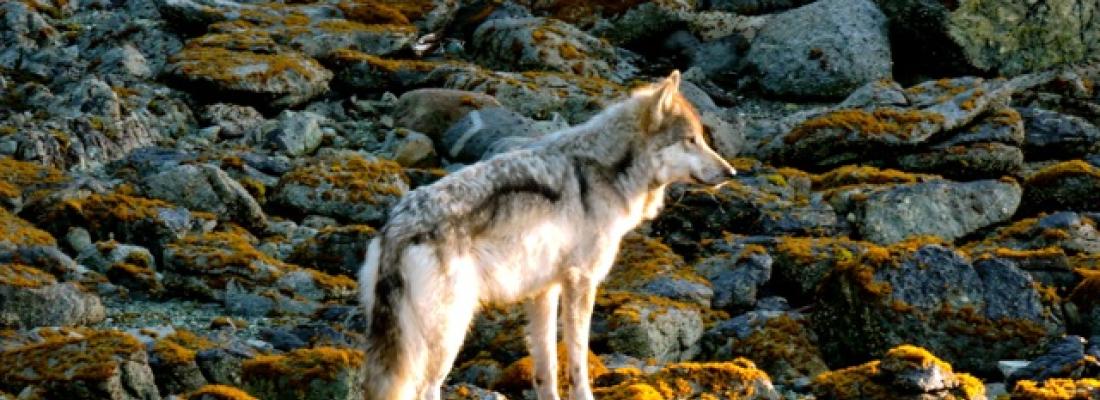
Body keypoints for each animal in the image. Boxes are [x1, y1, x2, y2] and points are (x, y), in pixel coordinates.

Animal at [358, 70, 736, 400]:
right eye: (690, 140)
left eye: (702, 139)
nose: (731, 172)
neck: (605, 170)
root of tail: (398, 227)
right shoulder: (581, 282)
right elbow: (578, 361)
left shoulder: (544, 290)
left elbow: (546, 367)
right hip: (449, 332)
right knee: (426, 388)